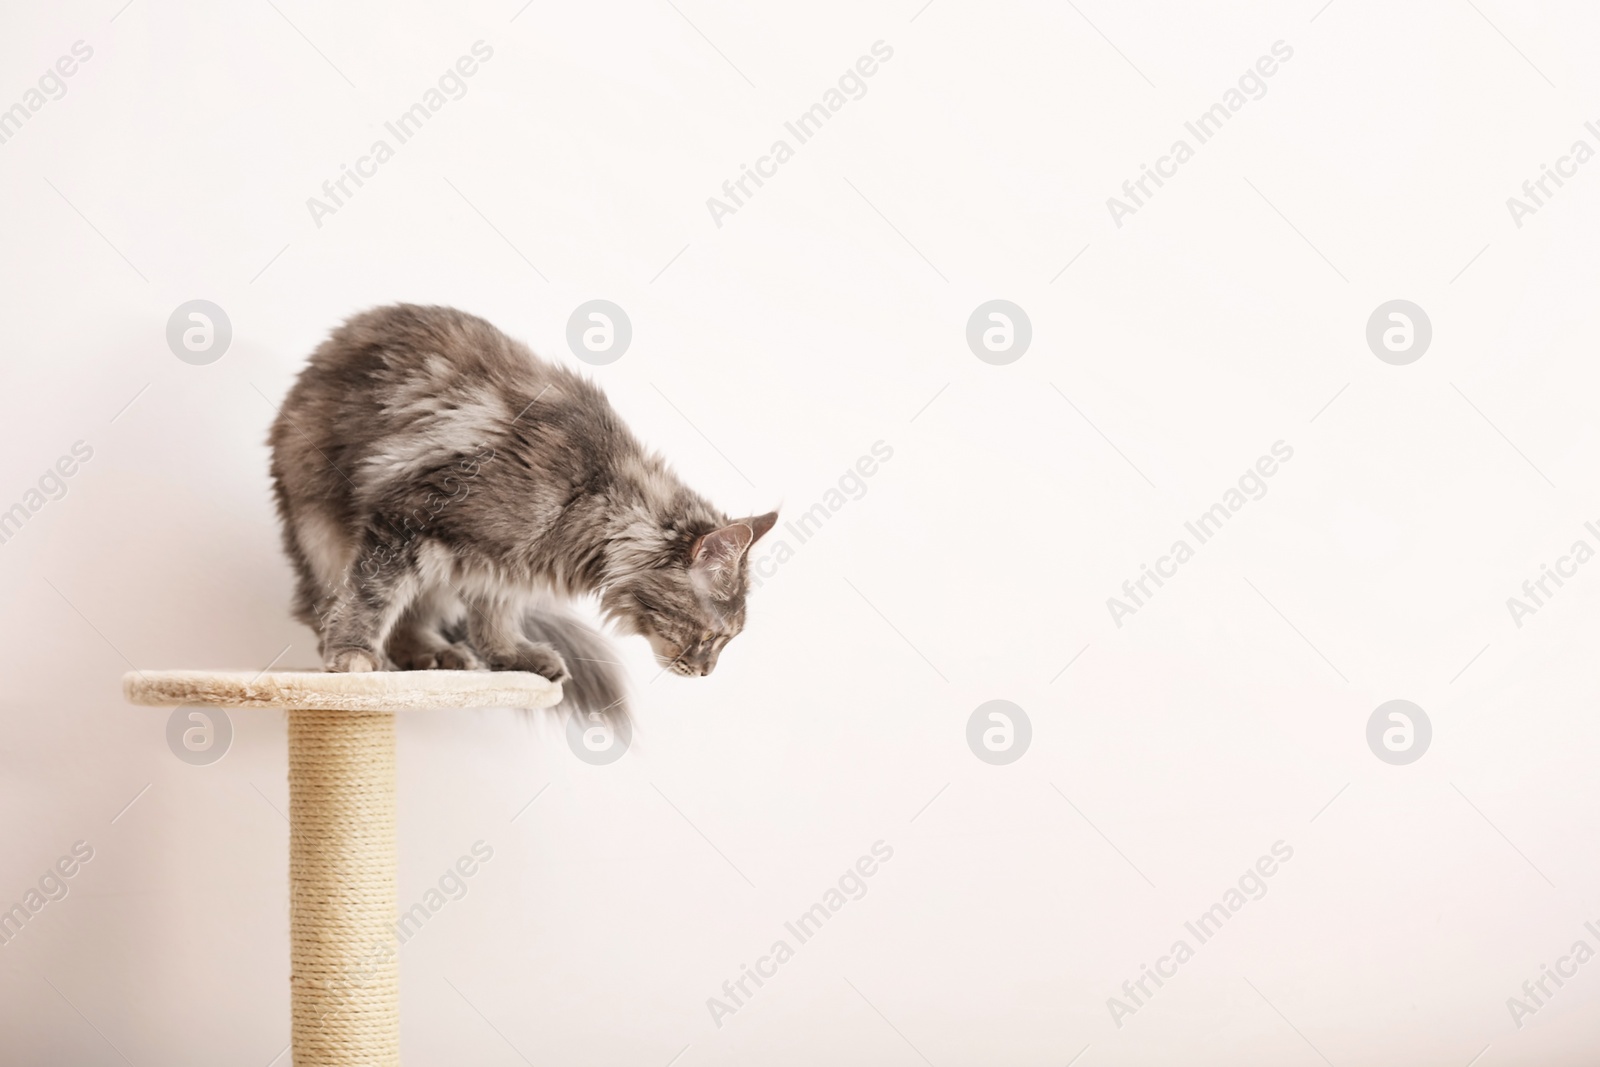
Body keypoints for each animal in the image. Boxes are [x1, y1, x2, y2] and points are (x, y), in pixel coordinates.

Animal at [267, 303, 774, 726]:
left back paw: (439, 655)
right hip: (322, 529)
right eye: (712, 637)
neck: (595, 497)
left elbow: (496, 616)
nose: (707, 672)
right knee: (330, 603)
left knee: (415, 617)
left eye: (725, 640)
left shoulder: (502, 564)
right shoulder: (407, 517)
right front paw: (353, 655)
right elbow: (371, 597)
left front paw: (512, 656)